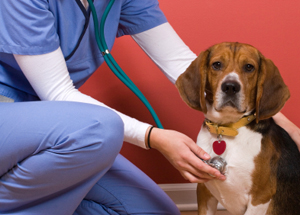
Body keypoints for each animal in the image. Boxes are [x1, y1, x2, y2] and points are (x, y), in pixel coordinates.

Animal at [176, 42, 300, 215]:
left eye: (249, 67)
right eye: (217, 64)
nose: (230, 87)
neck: (226, 129)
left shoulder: (259, 198)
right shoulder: (204, 191)